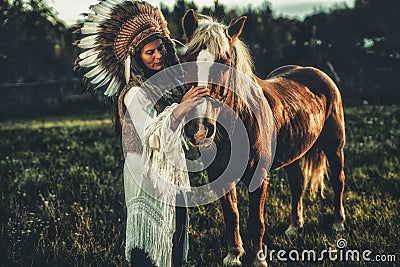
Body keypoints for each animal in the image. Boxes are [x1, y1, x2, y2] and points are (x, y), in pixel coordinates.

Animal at [181, 10, 346, 267]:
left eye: (225, 63)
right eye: (187, 60)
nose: (199, 127)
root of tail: (316, 73)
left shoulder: (258, 176)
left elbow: (255, 222)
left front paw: (258, 260)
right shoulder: (220, 175)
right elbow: (232, 215)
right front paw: (233, 255)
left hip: (334, 146)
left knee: (338, 181)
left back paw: (338, 223)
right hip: (293, 154)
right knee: (298, 184)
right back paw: (294, 226)